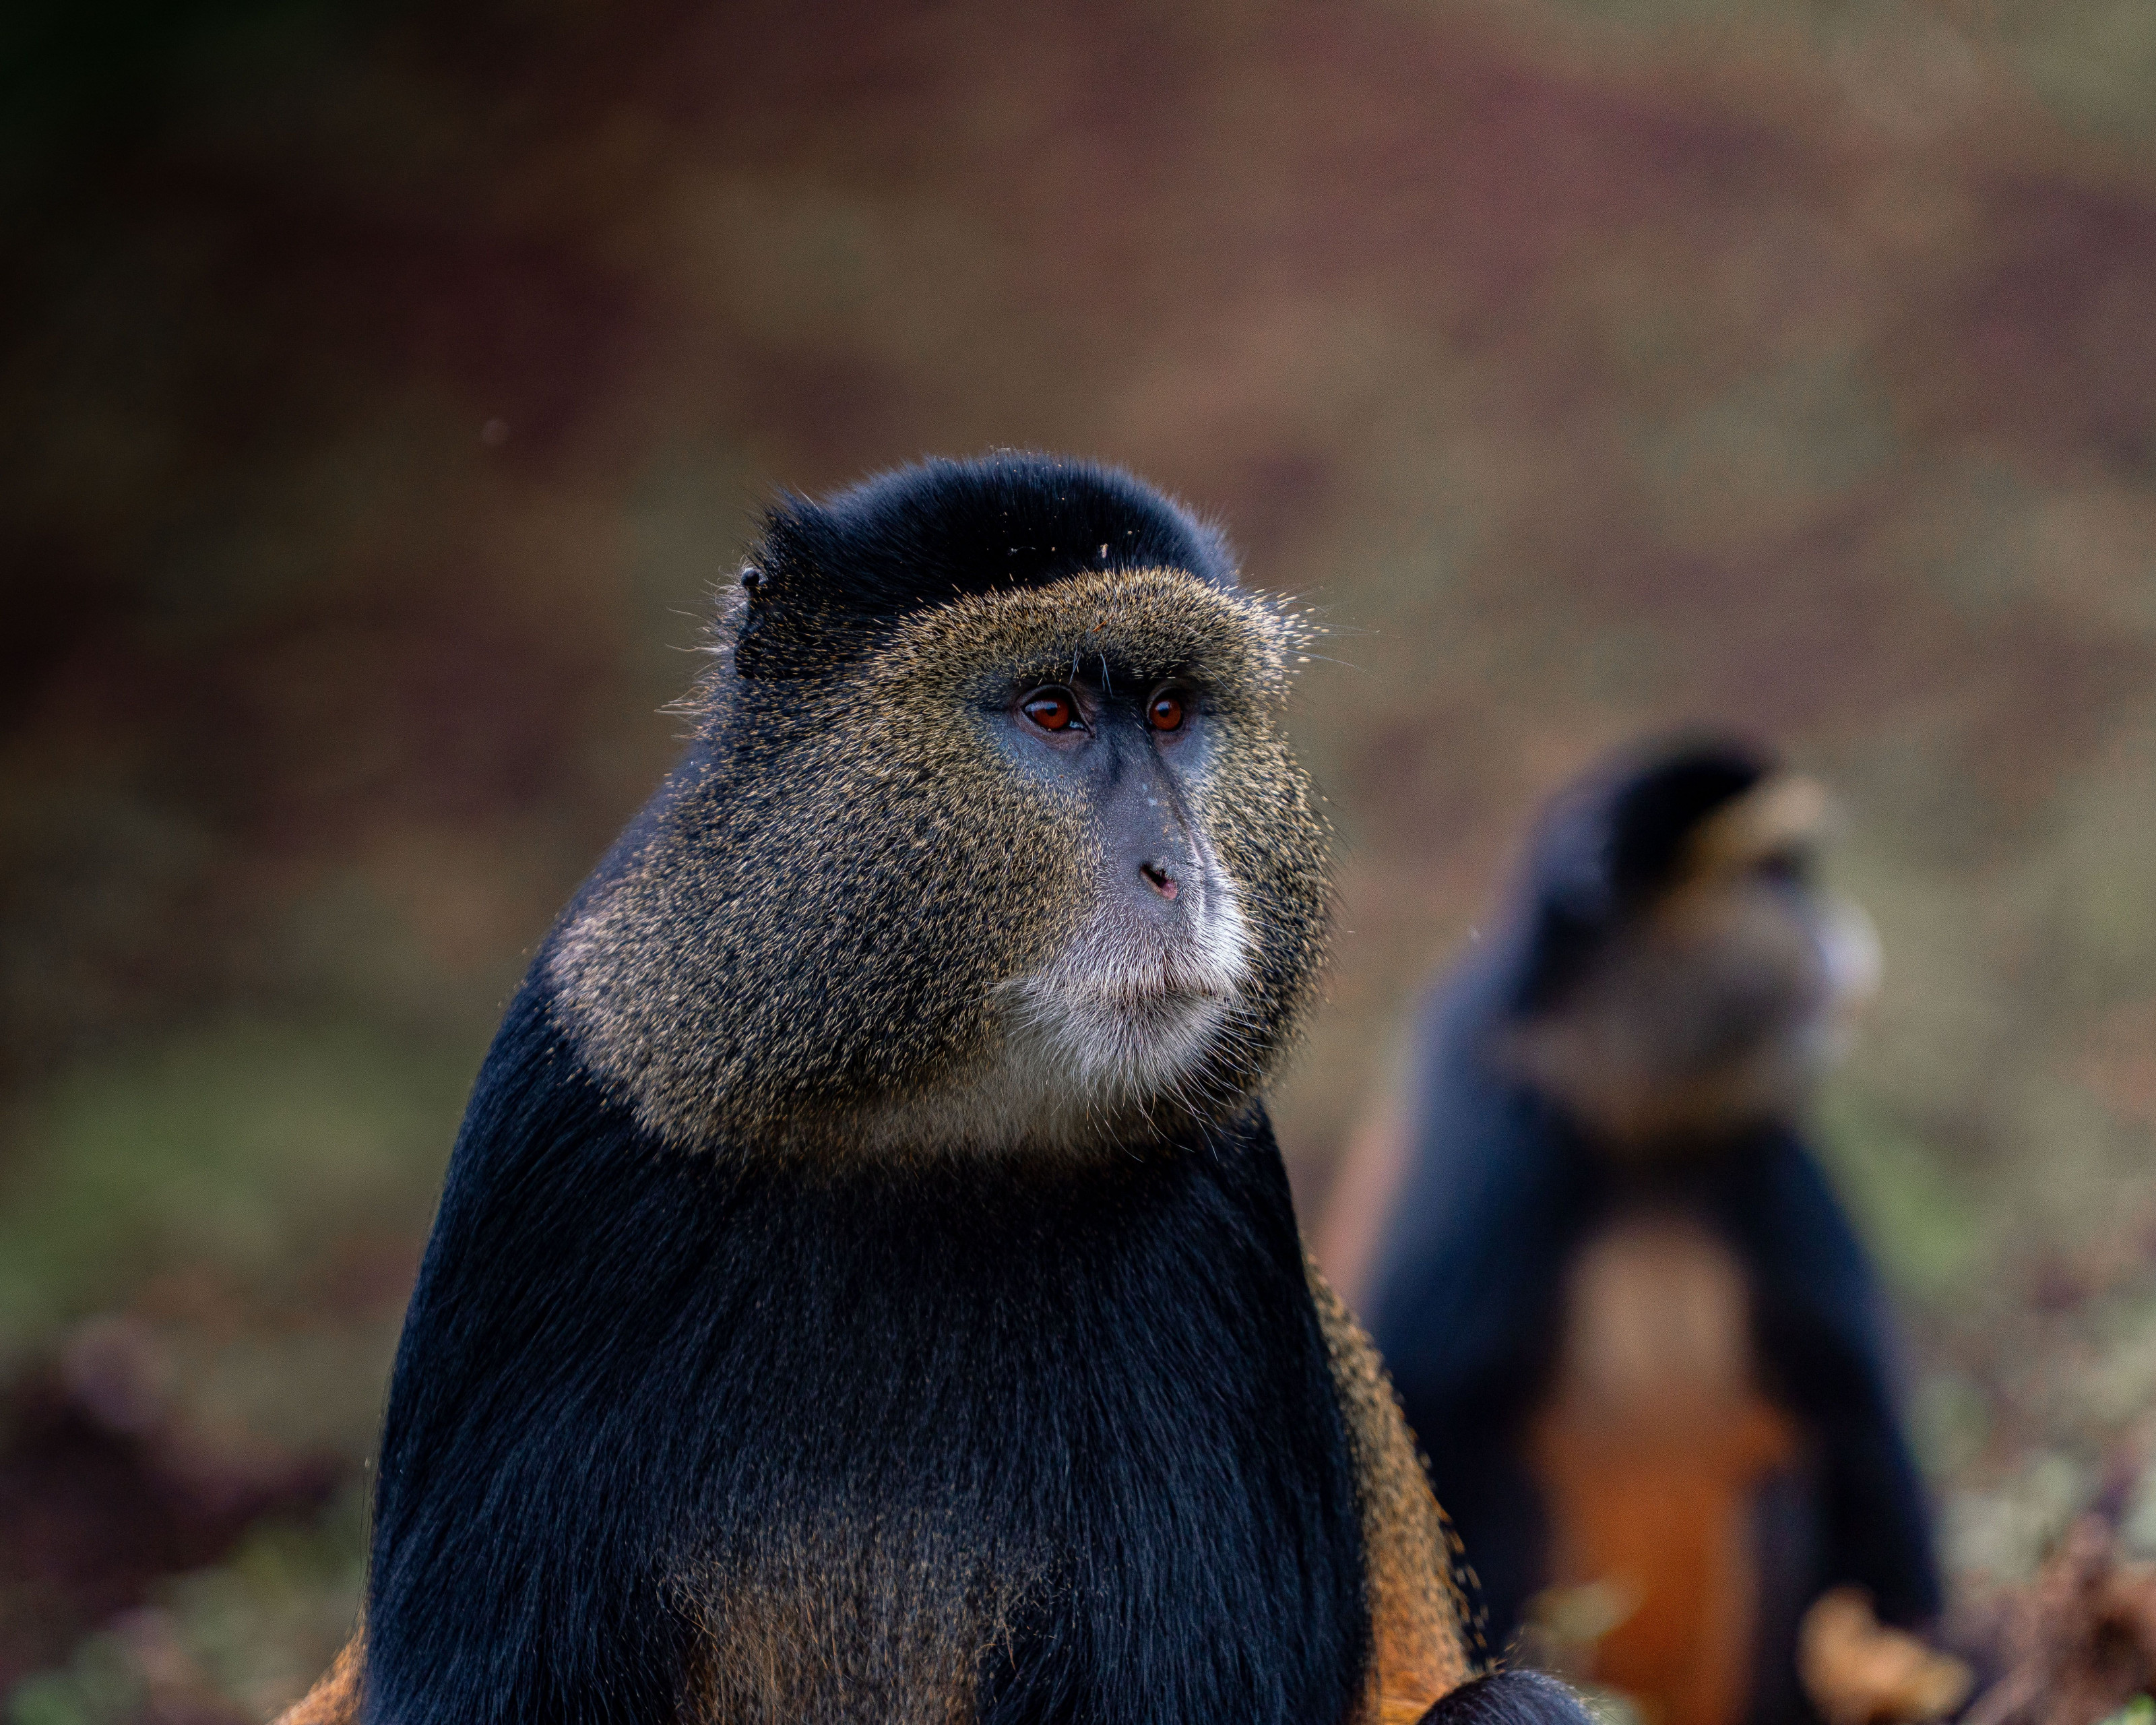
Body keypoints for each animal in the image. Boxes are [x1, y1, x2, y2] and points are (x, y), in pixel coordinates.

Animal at [276, 453, 1594, 1725]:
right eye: (1052, 711)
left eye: (1171, 712)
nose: (1181, 872)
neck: (920, 1125)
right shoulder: (560, 1133)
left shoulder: (1226, 1209)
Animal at [1334, 736, 1970, 1725]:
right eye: (1774, 876)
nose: (1834, 932)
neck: (1632, 1121)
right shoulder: (1499, 1137)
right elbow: (1430, 1406)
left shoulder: (1763, 1155)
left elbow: (1850, 1413)